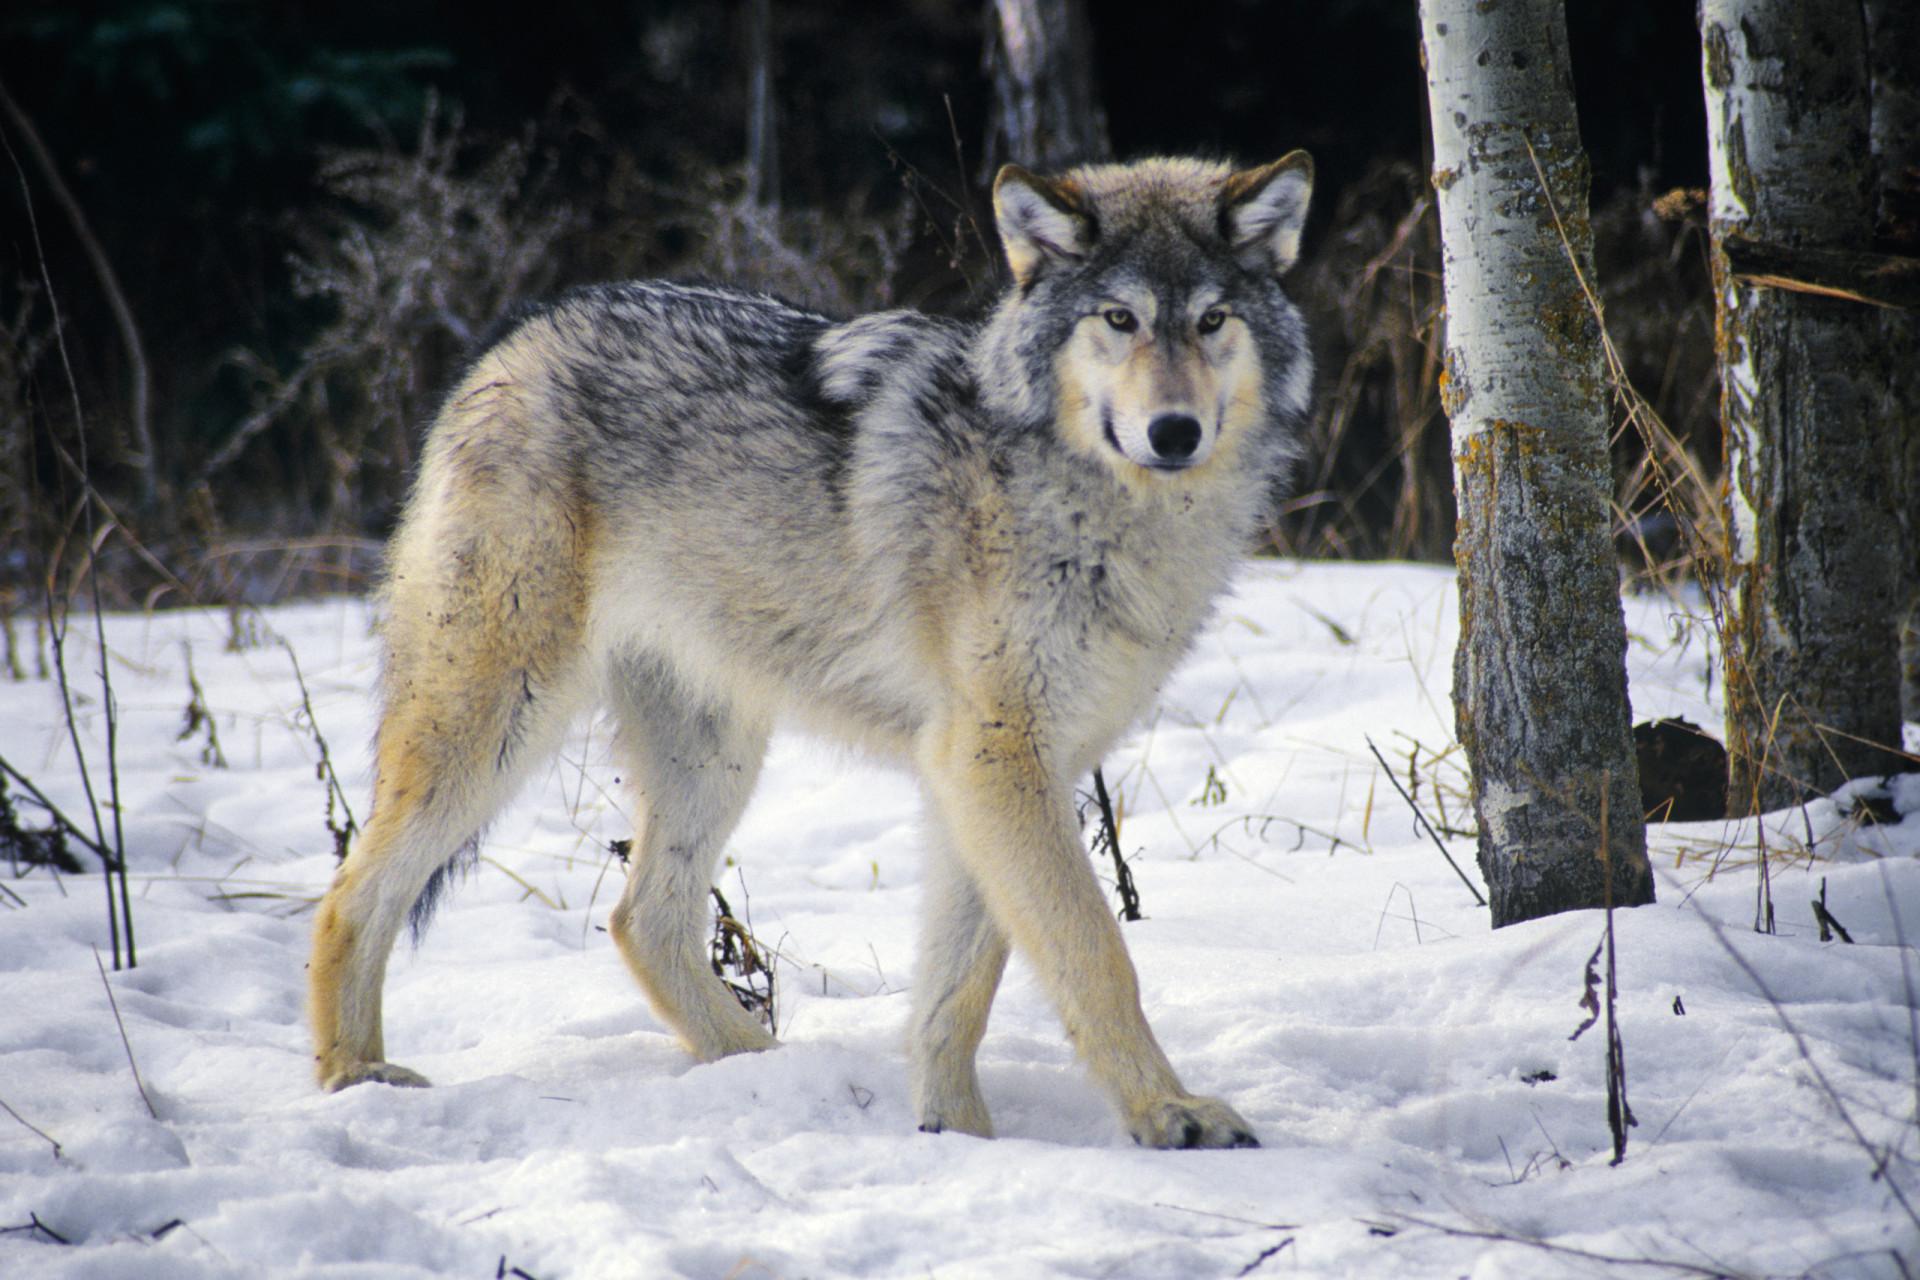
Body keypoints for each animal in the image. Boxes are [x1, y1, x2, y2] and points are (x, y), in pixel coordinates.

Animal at [308, 152, 1314, 1149]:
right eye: (1120, 319)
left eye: (1212, 320)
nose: (1175, 432)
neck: (1098, 507)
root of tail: (514, 338)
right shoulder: (996, 756)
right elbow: (1095, 953)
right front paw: (1170, 1115)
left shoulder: (996, 769)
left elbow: (961, 989)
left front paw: (956, 1135)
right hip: (498, 720)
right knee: (351, 890)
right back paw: (355, 1078)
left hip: (713, 756)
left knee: (643, 919)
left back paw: (760, 1066)